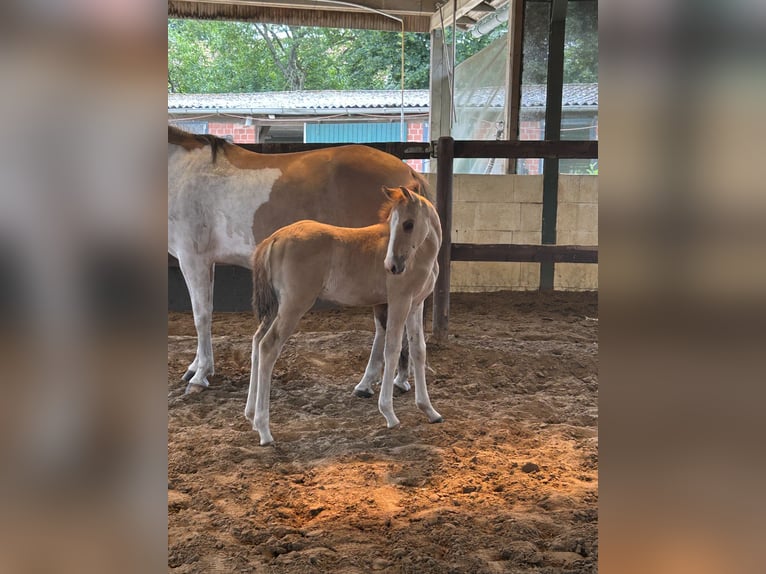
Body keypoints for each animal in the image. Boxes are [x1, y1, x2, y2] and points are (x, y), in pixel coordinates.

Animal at [168, 125, 432, 393]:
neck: (185, 172)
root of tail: (407, 172)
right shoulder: (205, 263)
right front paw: (195, 367)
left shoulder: (193, 259)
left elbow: (201, 315)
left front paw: (200, 375)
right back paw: (395, 379)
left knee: (384, 324)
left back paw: (370, 382)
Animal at [245, 184, 444, 446]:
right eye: (393, 223)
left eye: (408, 223)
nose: (391, 266)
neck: (421, 256)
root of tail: (274, 238)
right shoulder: (398, 301)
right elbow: (391, 349)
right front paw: (389, 414)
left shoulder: (416, 305)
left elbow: (418, 351)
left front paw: (429, 410)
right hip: (293, 305)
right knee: (268, 346)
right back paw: (264, 430)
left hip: (276, 308)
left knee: (257, 342)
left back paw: (250, 414)